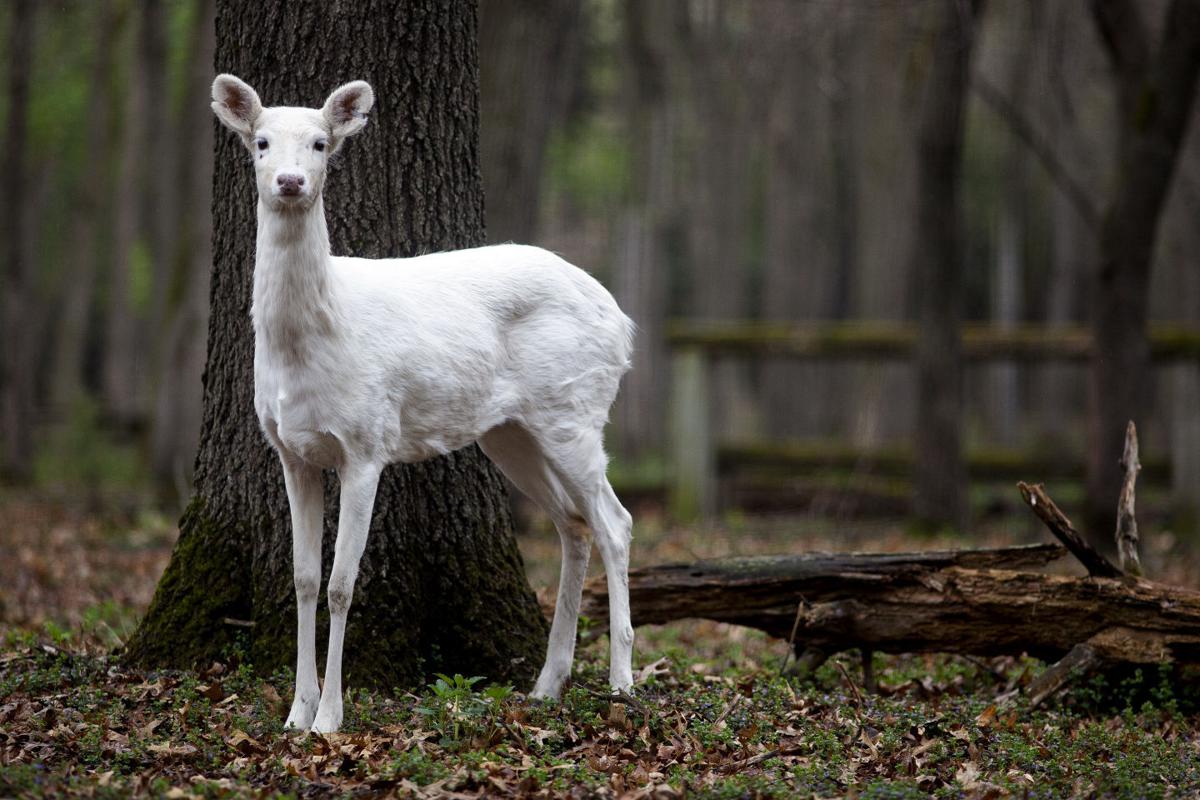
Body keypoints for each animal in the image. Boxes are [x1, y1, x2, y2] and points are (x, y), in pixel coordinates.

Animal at [210, 74, 636, 734]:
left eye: (320, 142)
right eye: (260, 142)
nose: (290, 181)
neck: (314, 338)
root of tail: (622, 321)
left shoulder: (366, 444)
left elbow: (342, 583)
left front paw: (329, 717)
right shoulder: (291, 450)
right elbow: (303, 579)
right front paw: (296, 713)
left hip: (577, 408)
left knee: (616, 522)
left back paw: (622, 684)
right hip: (512, 432)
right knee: (574, 523)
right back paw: (548, 684)